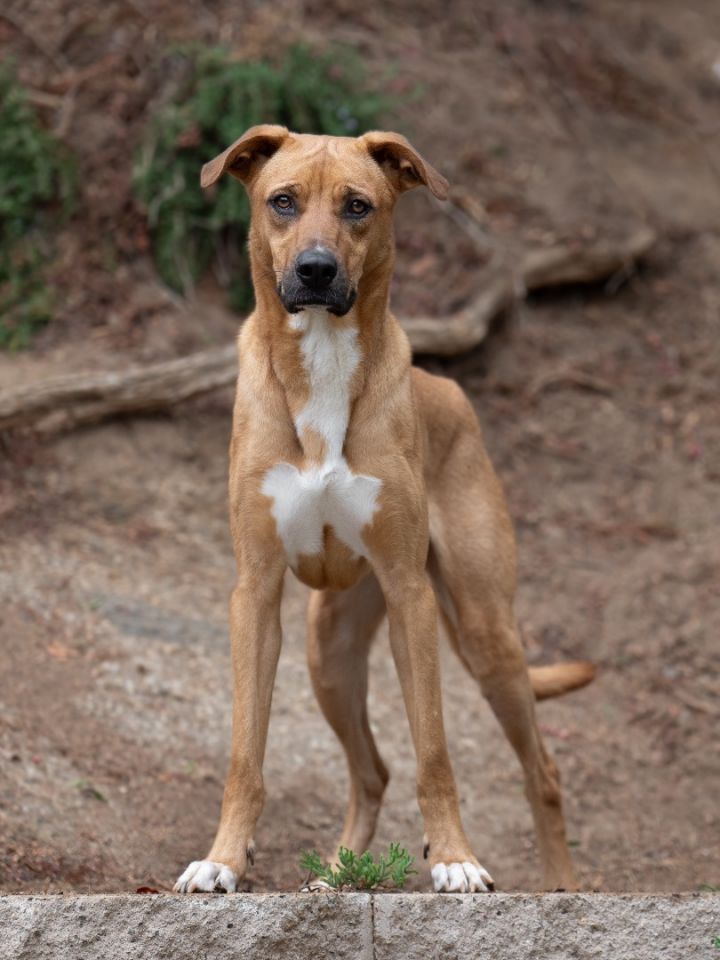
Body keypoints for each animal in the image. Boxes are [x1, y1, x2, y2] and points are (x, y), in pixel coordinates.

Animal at [172, 125, 592, 892]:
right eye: (283, 201)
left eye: (358, 206)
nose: (314, 270)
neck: (325, 365)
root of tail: (451, 392)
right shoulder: (256, 595)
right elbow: (246, 754)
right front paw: (222, 861)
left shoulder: (409, 594)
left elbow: (435, 750)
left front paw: (455, 859)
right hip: (328, 653)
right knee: (371, 772)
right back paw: (336, 874)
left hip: (486, 635)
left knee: (541, 771)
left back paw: (562, 888)